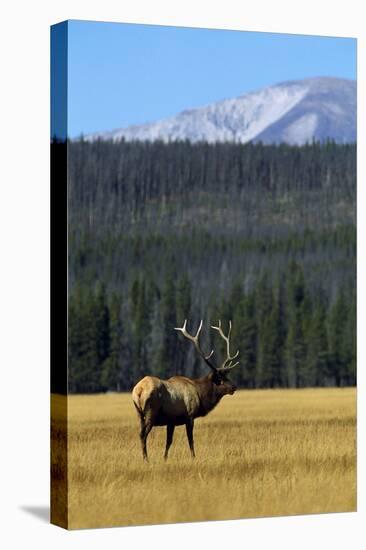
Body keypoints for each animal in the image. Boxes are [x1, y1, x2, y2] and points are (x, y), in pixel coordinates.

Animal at [132, 322, 240, 464]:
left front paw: (165, 458)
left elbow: (169, 442)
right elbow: (191, 440)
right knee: (143, 434)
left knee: (140, 433)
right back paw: (146, 459)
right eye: (220, 380)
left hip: (139, 413)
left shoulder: (171, 421)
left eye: (226, 376)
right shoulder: (190, 416)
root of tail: (139, 391)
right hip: (151, 412)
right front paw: (194, 458)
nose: (234, 387)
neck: (200, 395)